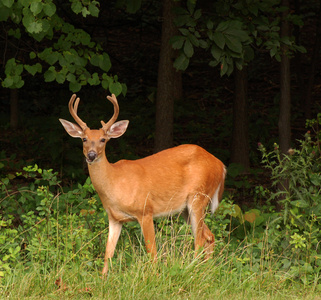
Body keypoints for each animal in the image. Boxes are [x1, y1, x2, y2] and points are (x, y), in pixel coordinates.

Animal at [60, 93, 225, 274]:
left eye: (103, 139)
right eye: (84, 139)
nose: (91, 155)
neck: (114, 183)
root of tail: (220, 165)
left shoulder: (145, 210)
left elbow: (152, 251)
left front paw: (153, 275)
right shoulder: (114, 218)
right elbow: (108, 253)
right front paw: (103, 278)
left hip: (198, 196)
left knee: (199, 240)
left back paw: (191, 269)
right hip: (186, 209)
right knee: (209, 236)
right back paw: (205, 269)